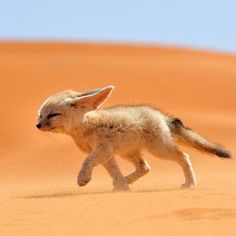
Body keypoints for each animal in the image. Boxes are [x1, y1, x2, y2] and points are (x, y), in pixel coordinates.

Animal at [36, 85, 230, 191]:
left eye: (53, 115)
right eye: (40, 115)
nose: (37, 125)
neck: (85, 126)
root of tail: (160, 115)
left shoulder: (102, 150)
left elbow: (87, 162)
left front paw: (83, 178)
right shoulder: (107, 154)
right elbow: (114, 171)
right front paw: (122, 187)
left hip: (159, 150)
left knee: (184, 156)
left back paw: (189, 184)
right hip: (128, 153)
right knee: (145, 167)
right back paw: (124, 182)